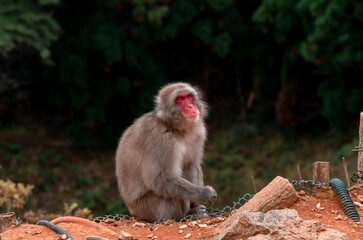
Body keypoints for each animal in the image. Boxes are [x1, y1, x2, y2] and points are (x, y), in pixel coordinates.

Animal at [116, 82, 216, 221]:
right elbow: (161, 179)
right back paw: (185, 215)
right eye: (180, 99)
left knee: (189, 167)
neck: (174, 128)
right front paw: (205, 194)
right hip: (150, 208)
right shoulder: (161, 140)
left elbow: (192, 164)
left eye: (189, 97)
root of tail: (134, 212)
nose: (190, 106)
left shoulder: (198, 133)